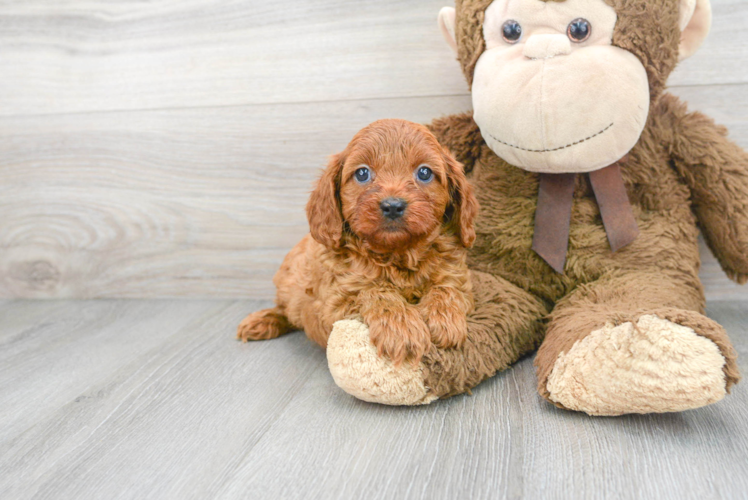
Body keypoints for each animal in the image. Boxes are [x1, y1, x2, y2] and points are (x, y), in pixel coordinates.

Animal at [240, 119, 480, 366]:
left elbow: (447, 288)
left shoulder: (459, 278)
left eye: (424, 172)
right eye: (362, 173)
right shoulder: (334, 304)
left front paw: (444, 319)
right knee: (284, 308)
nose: (392, 206)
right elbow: (375, 291)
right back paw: (262, 320)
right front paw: (401, 329)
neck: (398, 253)